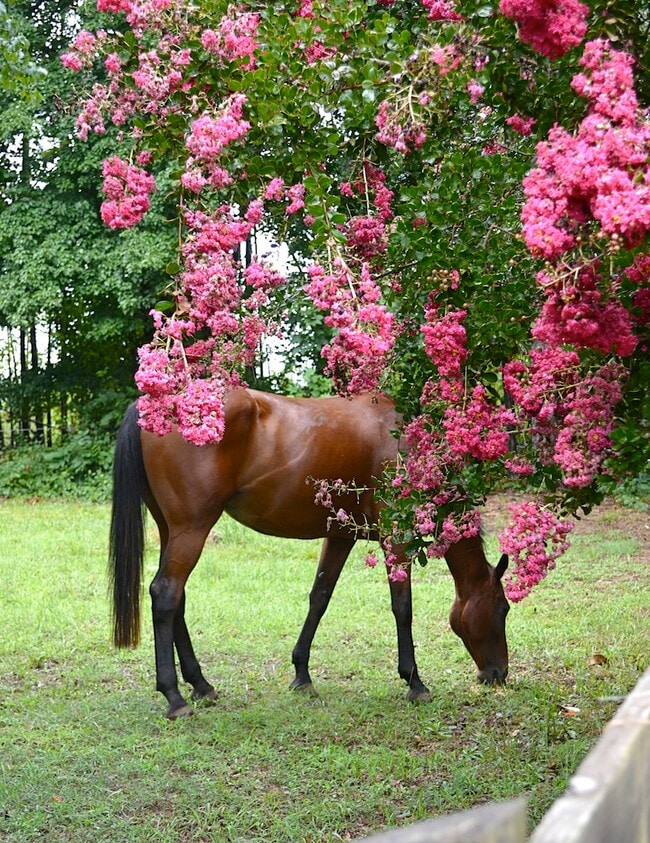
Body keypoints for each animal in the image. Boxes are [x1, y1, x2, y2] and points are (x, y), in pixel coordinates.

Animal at [109, 388, 510, 719]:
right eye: (503, 609)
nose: (498, 674)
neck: (403, 441)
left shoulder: (340, 536)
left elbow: (319, 598)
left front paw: (302, 674)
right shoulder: (394, 537)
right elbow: (403, 607)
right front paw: (414, 681)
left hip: (172, 530)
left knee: (177, 598)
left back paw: (201, 685)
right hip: (192, 528)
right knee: (166, 594)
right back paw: (175, 697)